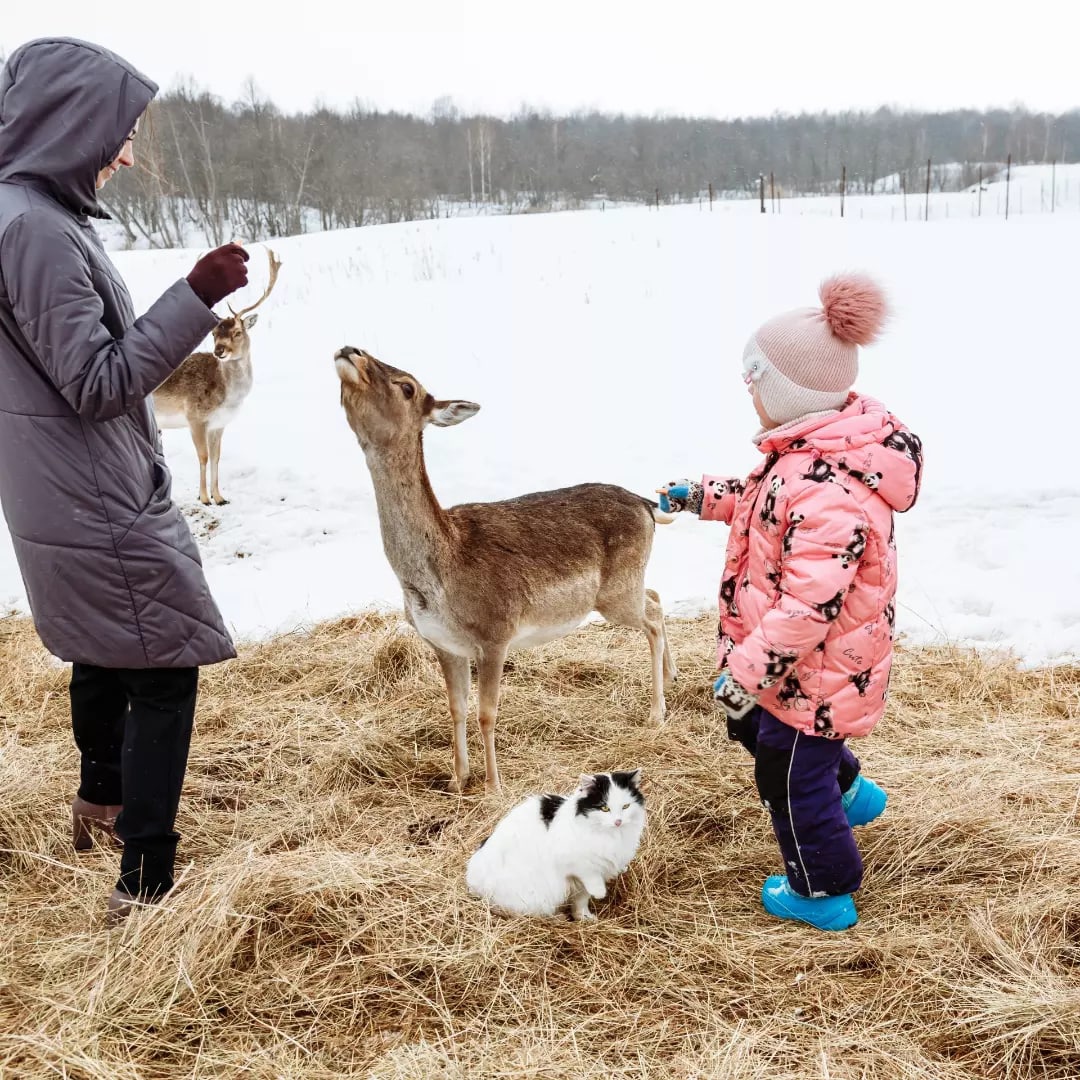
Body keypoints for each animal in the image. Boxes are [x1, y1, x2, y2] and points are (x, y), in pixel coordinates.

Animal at [152, 248, 282, 505]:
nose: (219, 351)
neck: (225, 398)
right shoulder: (195, 417)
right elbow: (203, 456)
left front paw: (219, 496)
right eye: (213, 333)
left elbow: (216, 457)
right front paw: (203, 497)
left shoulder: (219, 424)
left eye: (237, 332)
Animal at [333, 345, 678, 795]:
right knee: (656, 596)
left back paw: (656, 713)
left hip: (616, 593)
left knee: (651, 616)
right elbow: (455, 708)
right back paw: (672, 676)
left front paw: (494, 787)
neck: (437, 577)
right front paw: (457, 779)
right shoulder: (443, 644)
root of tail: (645, 503)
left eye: (407, 386)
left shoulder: (495, 632)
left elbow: (486, 712)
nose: (350, 350)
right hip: (626, 585)